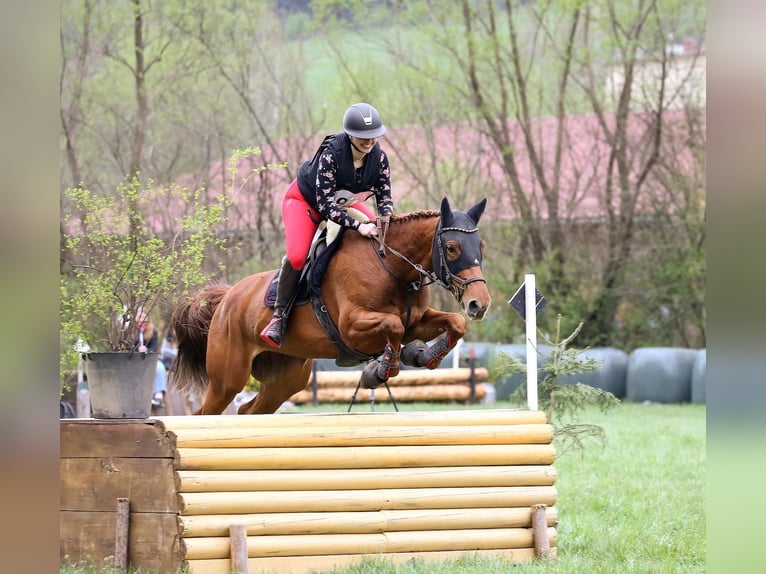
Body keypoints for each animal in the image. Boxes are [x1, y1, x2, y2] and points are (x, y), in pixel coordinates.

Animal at [171, 196, 492, 415]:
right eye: (452, 248)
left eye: (482, 247)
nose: (480, 304)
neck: (390, 266)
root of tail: (226, 299)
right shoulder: (352, 327)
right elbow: (394, 327)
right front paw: (380, 370)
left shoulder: (418, 320)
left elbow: (453, 324)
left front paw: (423, 356)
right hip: (227, 378)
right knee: (206, 412)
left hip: (285, 379)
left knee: (248, 410)